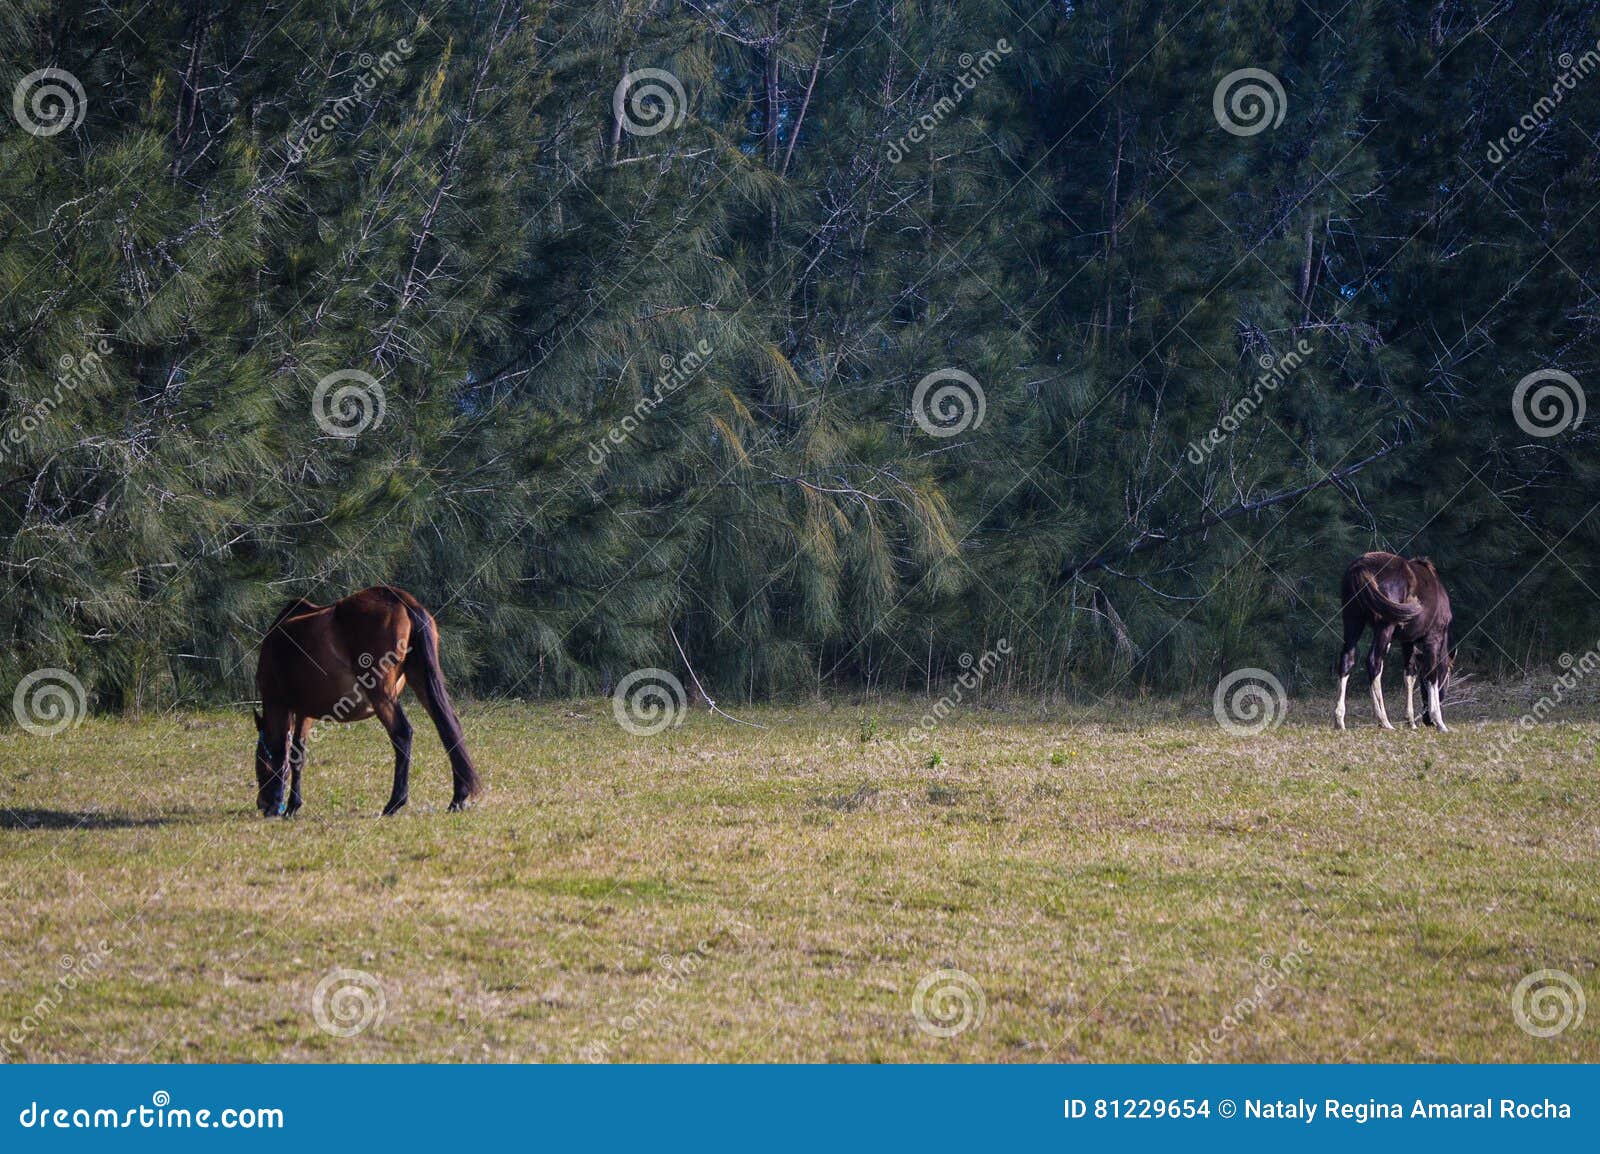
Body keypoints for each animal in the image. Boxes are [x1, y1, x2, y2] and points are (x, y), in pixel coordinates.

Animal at [253, 586, 481, 816]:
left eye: (259, 763)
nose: (263, 804)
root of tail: (402, 600)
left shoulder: (284, 705)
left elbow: (286, 753)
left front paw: (288, 805)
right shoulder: (304, 711)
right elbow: (297, 755)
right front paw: (293, 804)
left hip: (381, 693)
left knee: (402, 734)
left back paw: (395, 802)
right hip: (422, 681)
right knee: (448, 729)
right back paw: (458, 797)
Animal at [1334, 552, 1453, 732]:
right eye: (1447, 678)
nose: (1427, 720)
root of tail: (1361, 566)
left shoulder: (1408, 641)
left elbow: (1410, 674)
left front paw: (1411, 721)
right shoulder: (1433, 639)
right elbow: (1431, 674)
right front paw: (1439, 721)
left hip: (1353, 622)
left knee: (1347, 660)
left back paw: (1340, 719)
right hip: (1385, 627)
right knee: (1373, 662)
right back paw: (1383, 720)